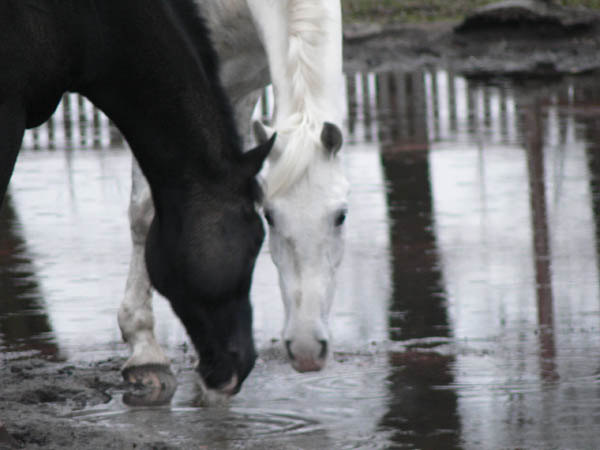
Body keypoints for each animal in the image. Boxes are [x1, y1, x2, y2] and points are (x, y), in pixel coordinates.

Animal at [117, 0, 346, 386]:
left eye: (341, 216)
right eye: (270, 216)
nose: (306, 350)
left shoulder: (243, 82)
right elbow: (144, 212)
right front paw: (144, 347)